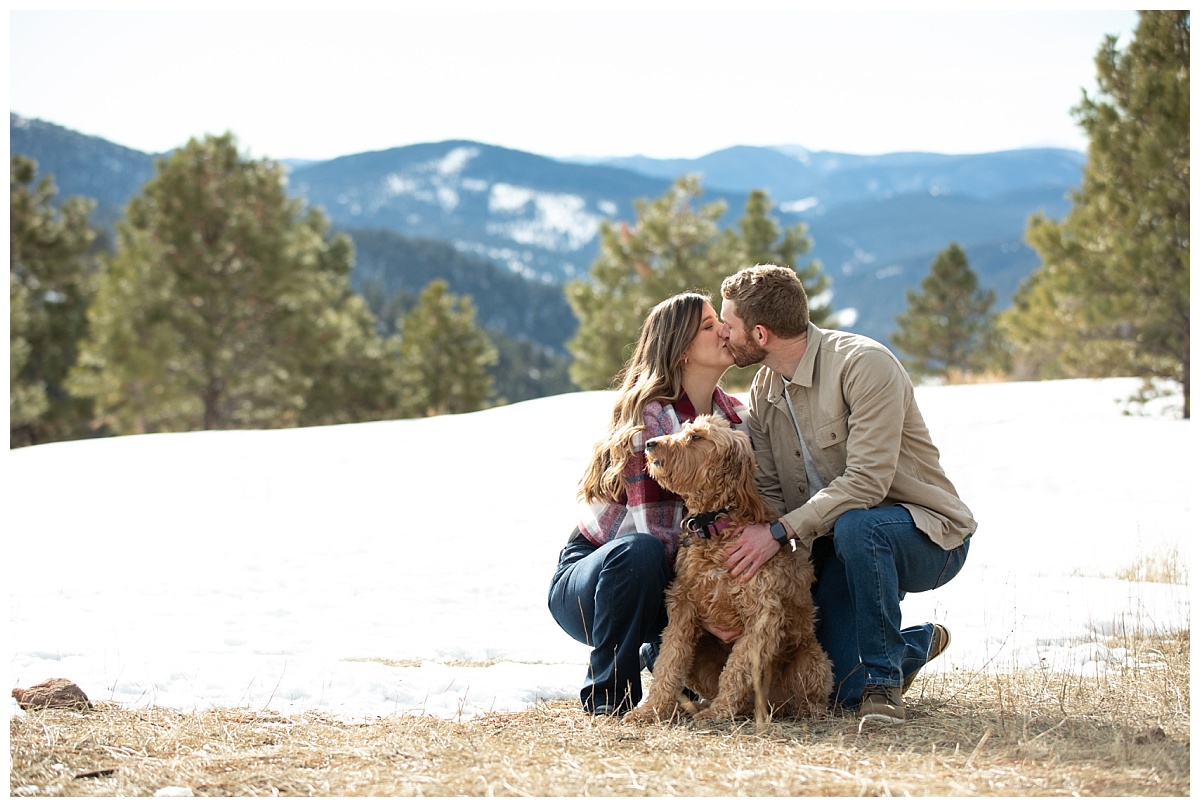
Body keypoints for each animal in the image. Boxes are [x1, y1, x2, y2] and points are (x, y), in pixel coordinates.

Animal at [624, 415, 830, 725]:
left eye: (696, 437)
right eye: (683, 429)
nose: (649, 443)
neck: (715, 523)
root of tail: (774, 703)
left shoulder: (763, 617)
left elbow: (737, 668)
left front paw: (718, 712)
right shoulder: (683, 607)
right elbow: (668, 662)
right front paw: (652, 710)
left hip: (812, 660)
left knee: (808, 697)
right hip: (700, 659)